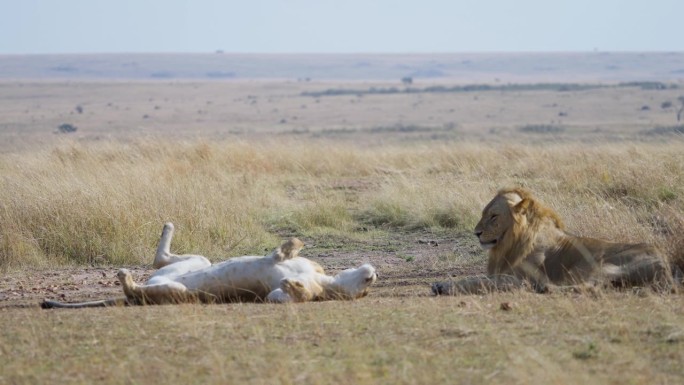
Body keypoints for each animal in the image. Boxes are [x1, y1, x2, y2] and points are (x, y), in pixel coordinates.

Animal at [42, 222, 376, 306]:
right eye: (366, 287)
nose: (373, 274)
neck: (328, 284)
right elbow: (286, 254)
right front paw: (290, 248)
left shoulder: (275, 296)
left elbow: (285, 293)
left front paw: (288, 280)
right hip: (194, 263)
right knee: (160, 259)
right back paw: (168, 225)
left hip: (178, 292)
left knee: (135, 292)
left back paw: (126, 278)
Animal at [432, 187, 680, 294]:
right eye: (483, 213)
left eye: (494, 216)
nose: (476, 233)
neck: (509, 243)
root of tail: (665, 264)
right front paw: (441, 283)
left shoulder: (517, 280)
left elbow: (475, 280)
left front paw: (443, 286)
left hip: (598, 264)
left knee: (591, 286)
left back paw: (547, 288)